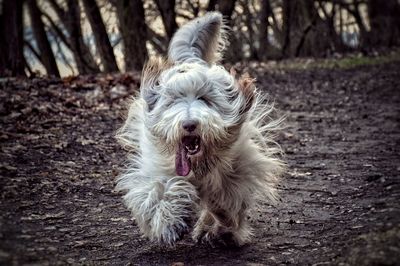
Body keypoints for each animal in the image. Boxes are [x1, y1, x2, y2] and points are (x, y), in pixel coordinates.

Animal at [115, 11, 284, 246]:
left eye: (204, 99)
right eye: (172, 101)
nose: (189, 124)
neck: (198, 164)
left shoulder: (237, 171)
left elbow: (225, 203)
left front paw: (222, 228)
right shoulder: (158, 167)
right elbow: (158, 190)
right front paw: (169, 222)